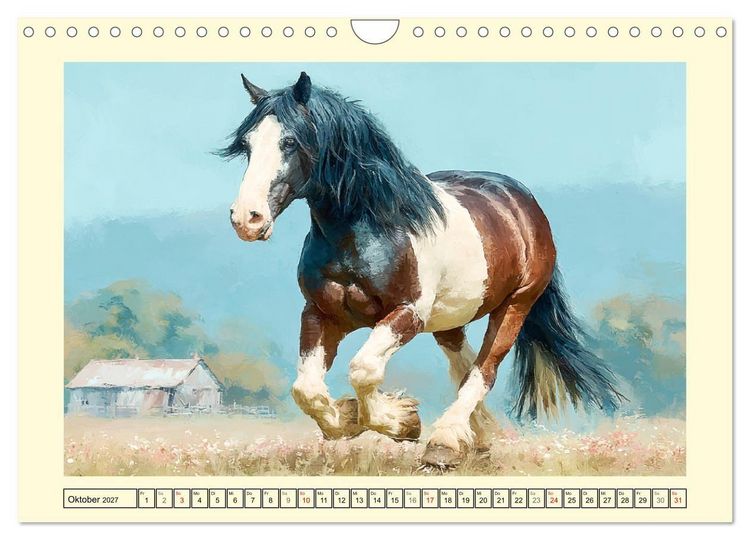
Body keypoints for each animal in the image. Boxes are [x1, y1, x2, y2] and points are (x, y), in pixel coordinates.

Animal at [221, 71, 623, 467]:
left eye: (289, 142)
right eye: (247, 145)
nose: (247, 219)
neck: (364, 232)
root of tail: (523, 203)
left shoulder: (407, 314)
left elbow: (363, 369)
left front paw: (402, 421)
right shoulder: (321, 313)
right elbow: (306, 390)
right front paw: (353, 419)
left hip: (515, 306)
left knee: (483, 370)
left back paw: (443, 443)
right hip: (450, 320)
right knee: (462, 368)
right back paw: (475, 440)